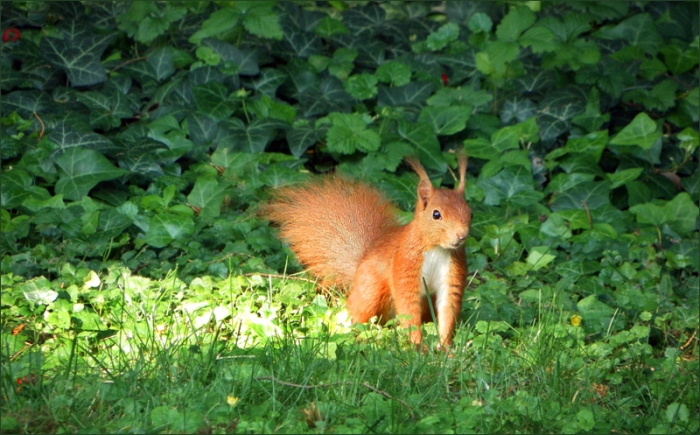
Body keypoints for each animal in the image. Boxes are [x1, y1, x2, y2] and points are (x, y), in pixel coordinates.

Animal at [263, 154, 472, 348]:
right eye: (436, 214)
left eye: (470, 213)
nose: (461, 235)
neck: (437, 249)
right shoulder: (405, 263)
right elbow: (408, 306)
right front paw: (417, 345)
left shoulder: (452, 272)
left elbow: (447, 307)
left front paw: (445, 347)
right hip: (371, 290)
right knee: (359, 311)